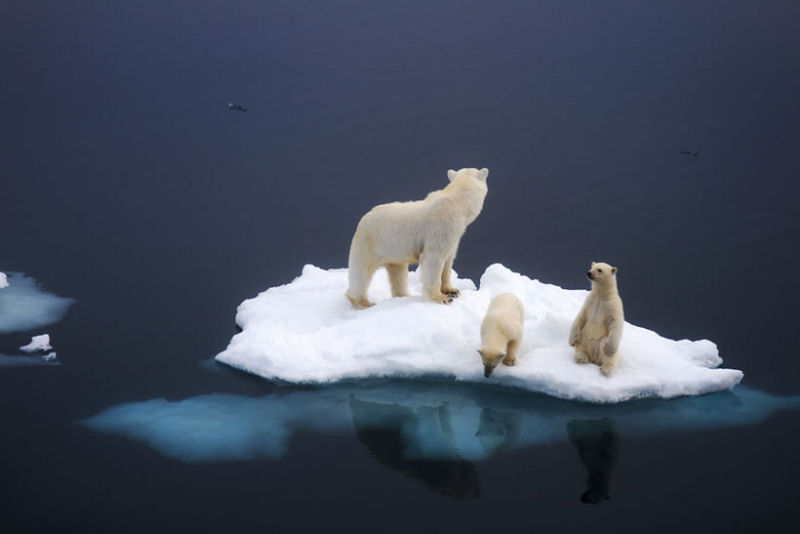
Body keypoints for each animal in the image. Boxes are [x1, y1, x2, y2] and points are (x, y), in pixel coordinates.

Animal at [348, 168, 490, 310]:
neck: (458, 203)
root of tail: (364, 218)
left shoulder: (454, 235)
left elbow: (448, 260)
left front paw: (452, 290)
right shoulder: (441, 225)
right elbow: (434, 259)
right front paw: (441, 298)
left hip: (393, 251)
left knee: (398, 272)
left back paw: (403, 295)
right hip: (369, 242)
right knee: (361, 272)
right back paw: (363, 302)